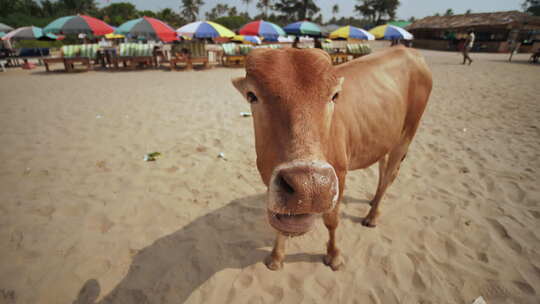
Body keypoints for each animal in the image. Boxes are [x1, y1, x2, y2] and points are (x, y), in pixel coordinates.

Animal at [231, 45, 430, 270]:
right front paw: (276, 256)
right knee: (382, 167)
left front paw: (334, 255)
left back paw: (372, 216)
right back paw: (373, 202)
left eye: (334, 96)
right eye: (251, 95)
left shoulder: (340, 175)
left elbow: (332, 221)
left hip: (407, 134)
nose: (309, 187)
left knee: (390, 174)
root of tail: (408, 50)